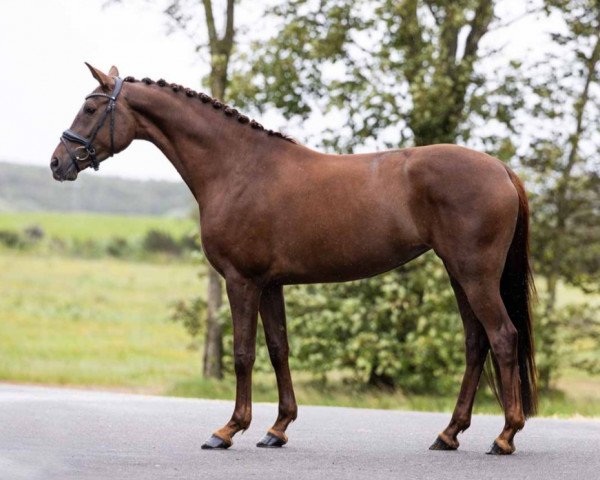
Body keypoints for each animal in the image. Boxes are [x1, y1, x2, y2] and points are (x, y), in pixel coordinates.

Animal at [51, 63, 536, 454]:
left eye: (90, 109)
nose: (58, 163)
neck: (238, 168)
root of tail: (501, 168)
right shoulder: (271, 284)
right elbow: (278, 348)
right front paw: (277, 429)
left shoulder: (241, 281)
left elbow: (243, 352)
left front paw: (228, 429)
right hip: (459, 275)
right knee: (475, 344)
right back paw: (449, 434)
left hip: (475, 276)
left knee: (502, 337)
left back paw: (504, 436)